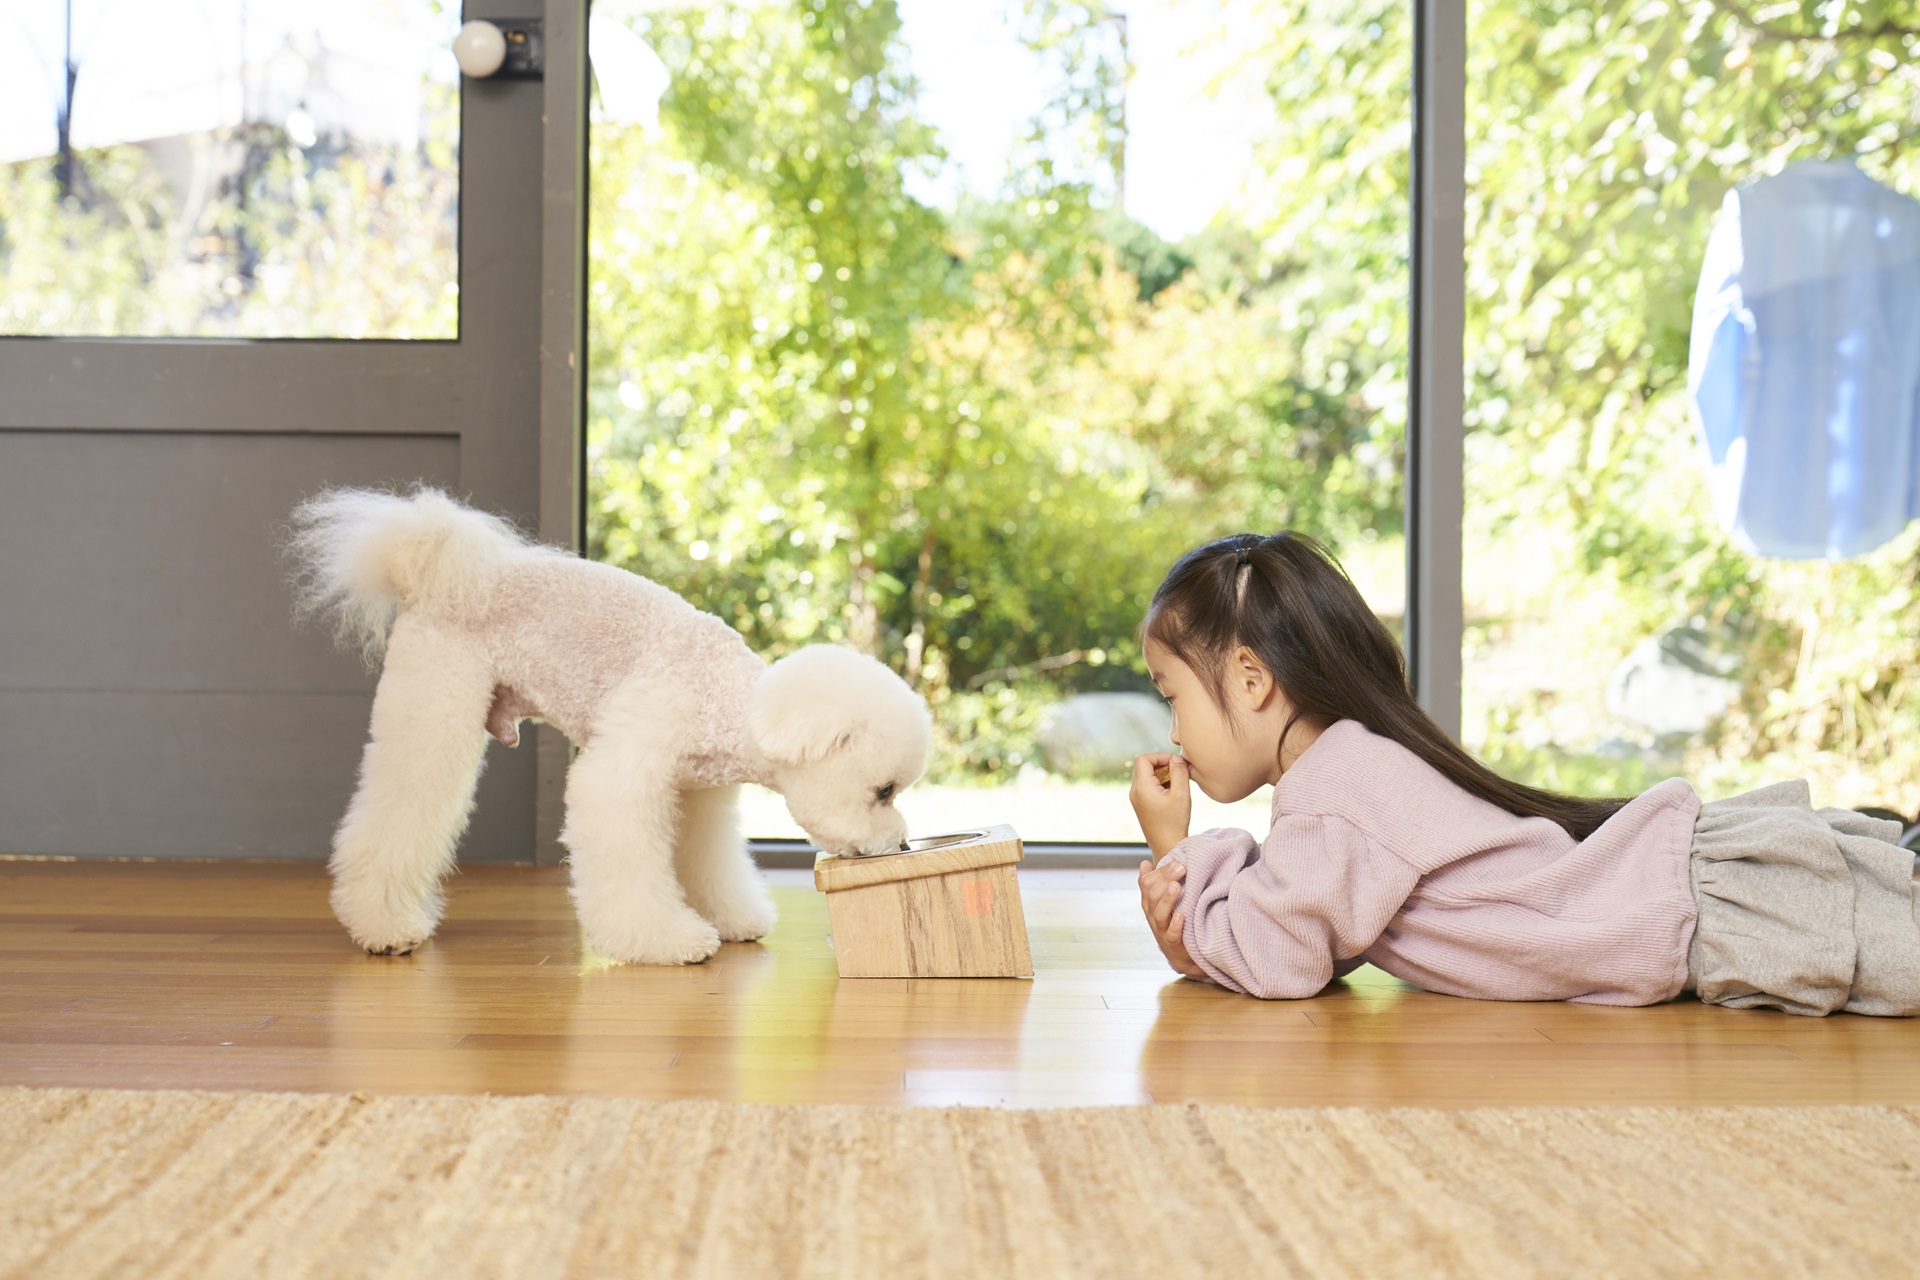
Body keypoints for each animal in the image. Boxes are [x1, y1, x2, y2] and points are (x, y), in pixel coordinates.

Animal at [286, 487, 936, 959]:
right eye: (883, 791)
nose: (904, 843)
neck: (726, 700)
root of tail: (430, 573)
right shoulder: (623, 776)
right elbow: (628, 867)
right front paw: (669, 941)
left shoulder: (694, 796)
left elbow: (709, 862)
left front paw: (732, 919)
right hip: (432, 716)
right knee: (394, 817)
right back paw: (385, 926)